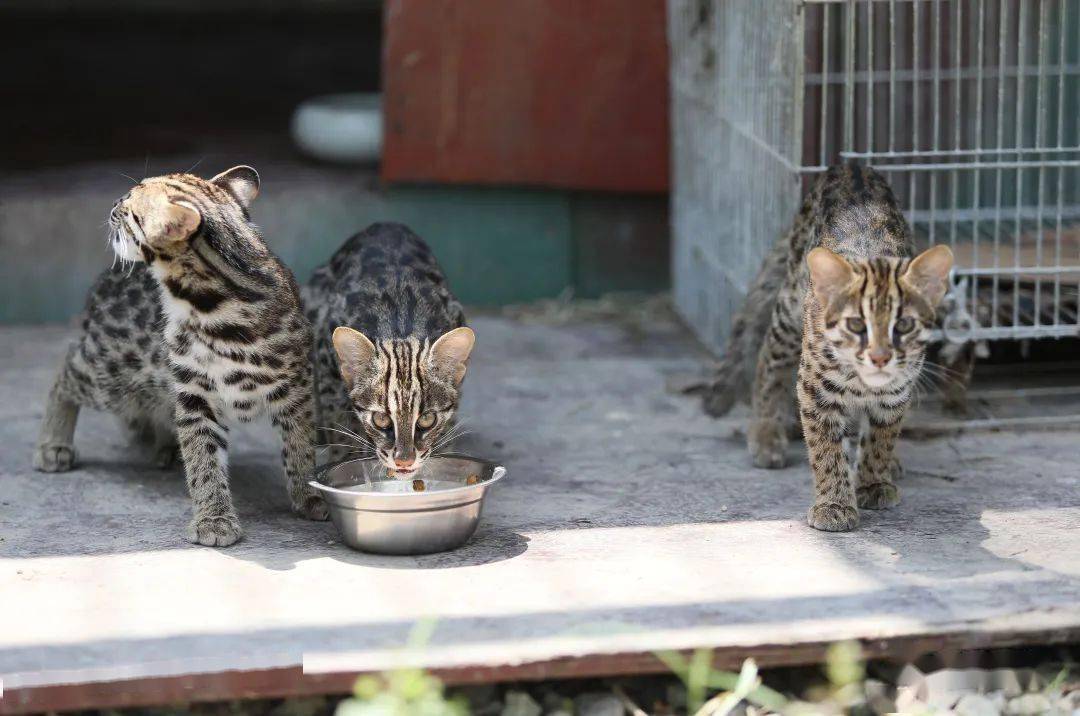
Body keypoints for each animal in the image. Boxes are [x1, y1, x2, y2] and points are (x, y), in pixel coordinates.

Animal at [35, 166, 326, 548]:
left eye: (130, 204)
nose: (113, 204)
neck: (212, 305)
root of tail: (107, 279)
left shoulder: (297, 384)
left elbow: (300, 443)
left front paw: (308, 492)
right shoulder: (194, 391)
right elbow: (202, 456)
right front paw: (214, 517)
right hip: (114, 373)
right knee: (67, 369)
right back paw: (54, 443)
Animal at [304, 222, 473, 481]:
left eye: (427, 419)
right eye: (380, 419)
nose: (404, 461)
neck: (400, 327)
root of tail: (385, 224)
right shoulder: (326, 358)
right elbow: (340, 422)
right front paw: (346, 458)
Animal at [704, 166, 950, 531]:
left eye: (903, 324)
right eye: (856, 325)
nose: (880, 358)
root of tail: (850, 167)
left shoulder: (896, 392)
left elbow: (881, 439)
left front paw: (874, 481)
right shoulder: (815, 388)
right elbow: (825, 448)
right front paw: (834, 504)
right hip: (789, 312)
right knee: (767, 359)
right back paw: (765, 434)